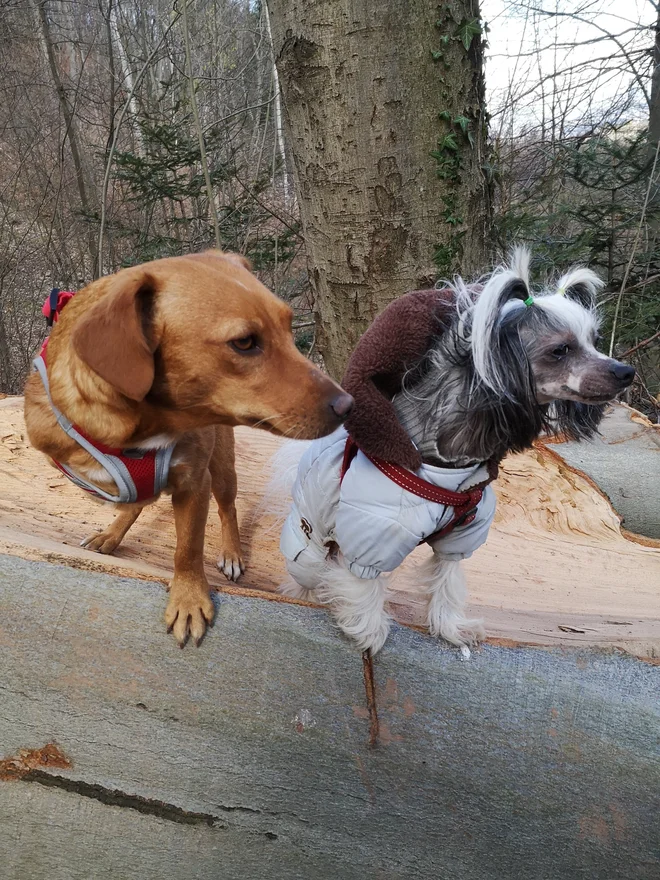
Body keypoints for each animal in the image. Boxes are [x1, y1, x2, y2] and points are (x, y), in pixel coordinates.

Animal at [23, 251, 354, 644]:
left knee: (227, 509)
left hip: (223, 472)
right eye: (245, 342)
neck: (141, 428)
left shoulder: (195, 483)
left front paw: (189, 598)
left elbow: (188, 548)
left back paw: (231, 551)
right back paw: (113, 533)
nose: (349, 405)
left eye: (289, 327)